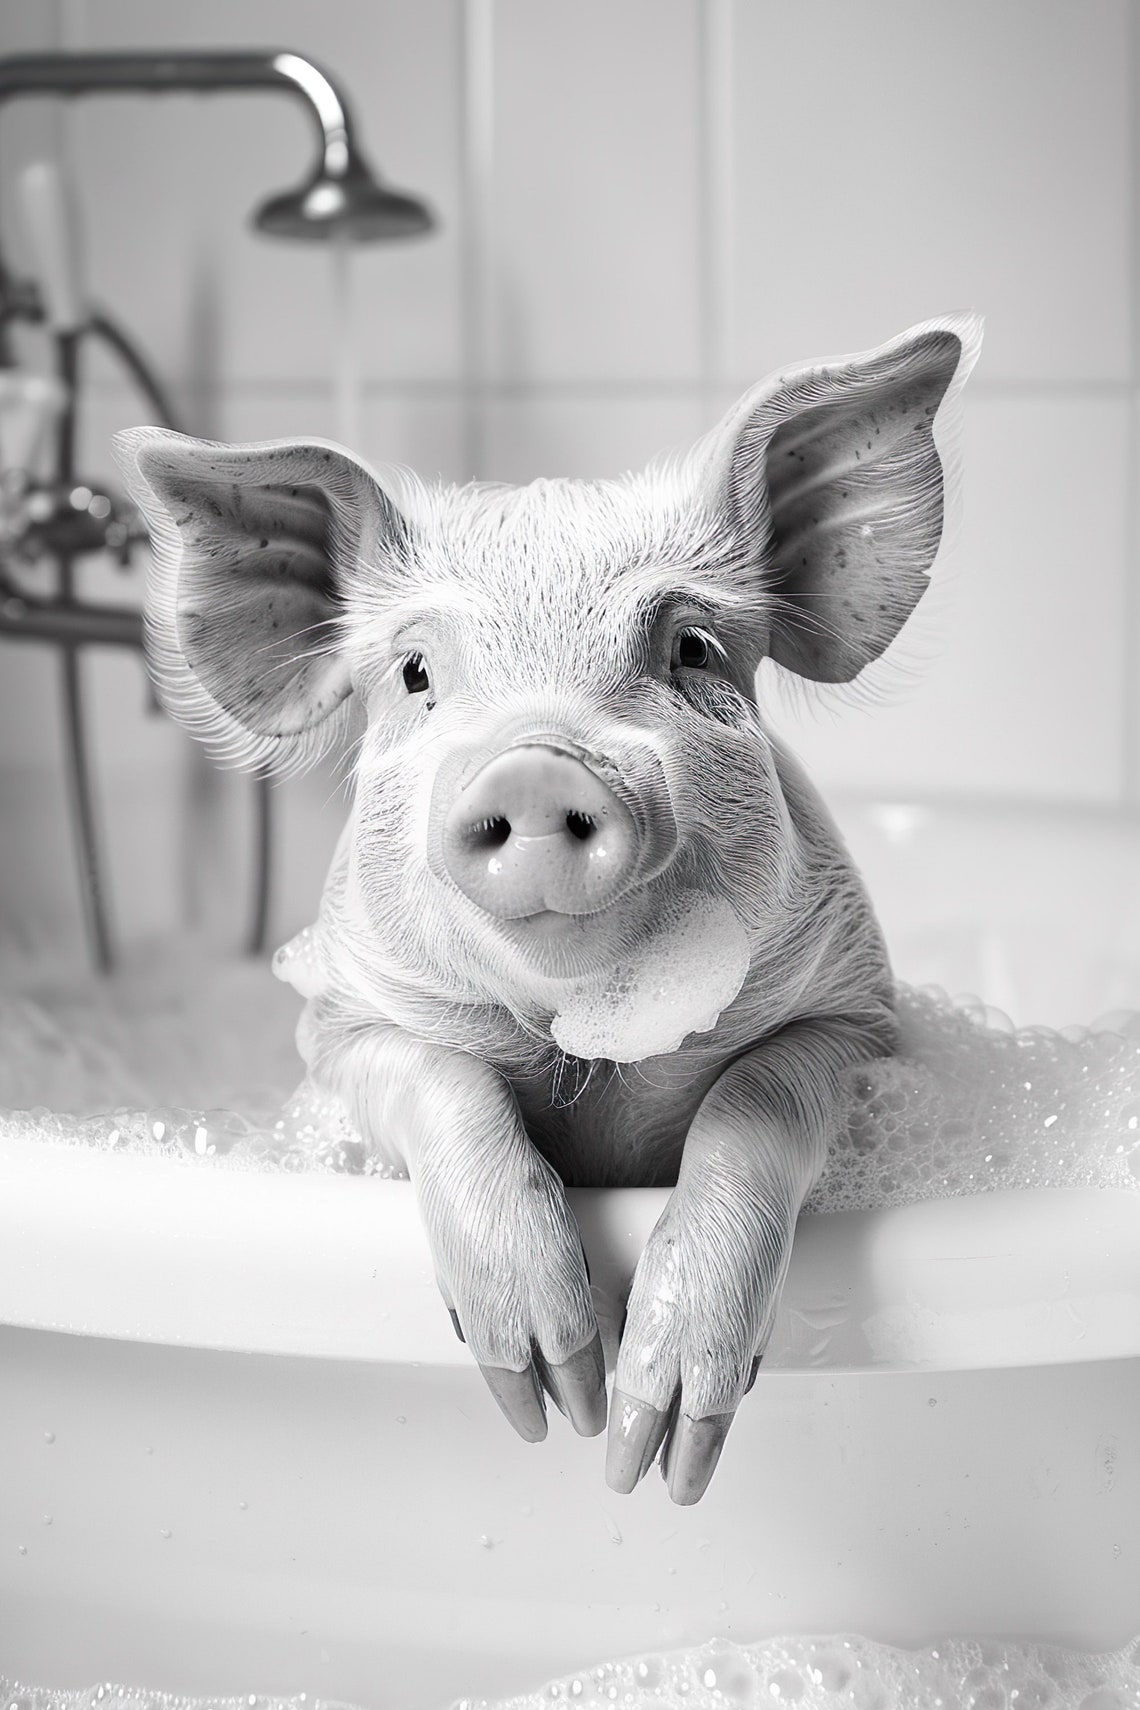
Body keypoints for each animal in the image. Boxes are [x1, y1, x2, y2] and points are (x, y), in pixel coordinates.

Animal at [114, 314, 980, 1505]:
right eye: (415, 672)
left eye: (692, 648)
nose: (534, 765)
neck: (588, 1048)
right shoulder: (338, 1021)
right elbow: (444, 1078)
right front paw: (553, 1397)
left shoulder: (857, 1013)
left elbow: (757, 1096)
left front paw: (647, 1452)